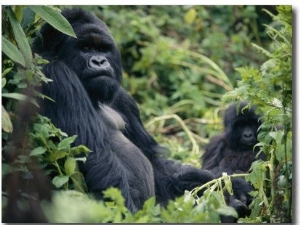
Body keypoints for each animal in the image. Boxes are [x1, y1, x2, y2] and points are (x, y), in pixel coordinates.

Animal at [32, 7, 248, 217]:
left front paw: (226, 183)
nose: (99, 62)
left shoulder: (123, 99)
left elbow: (153, 161)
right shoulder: (57, 74)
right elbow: (97, 158)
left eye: (102, 49)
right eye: (84, 49)